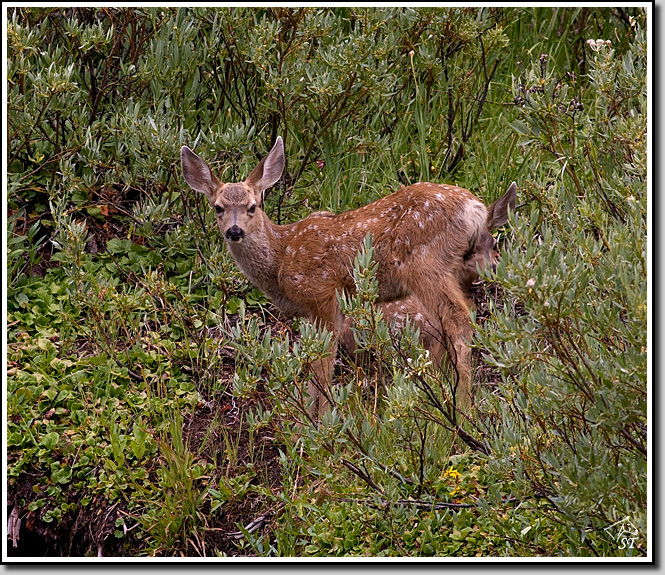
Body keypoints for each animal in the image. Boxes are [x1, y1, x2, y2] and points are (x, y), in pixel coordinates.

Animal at [181, 136, 516, 420]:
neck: (281, 256)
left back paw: (461, 407)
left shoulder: (323, 293)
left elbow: (322, 360)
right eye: (218, 208)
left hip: (424, 264)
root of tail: (476, 209)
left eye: (253, 206)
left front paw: (321, 419)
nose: (234, 231)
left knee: (458, 317)